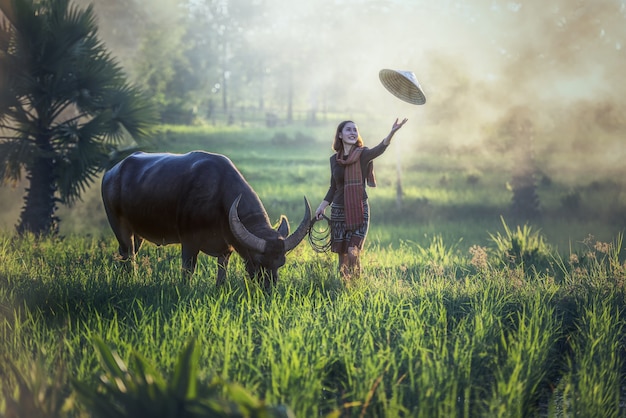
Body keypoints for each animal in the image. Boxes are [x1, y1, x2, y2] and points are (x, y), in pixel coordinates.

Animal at [100, 151, 312, 288]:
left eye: (280, 263)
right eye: (257, 261)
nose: (269, 290)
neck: (218, 199)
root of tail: (111, 172)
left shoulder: (226, 250)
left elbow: (222, 275)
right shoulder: (189, 243)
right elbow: (188, 272)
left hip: (137, 234)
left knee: (127, 254)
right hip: (119, 226)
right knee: (129, 254)